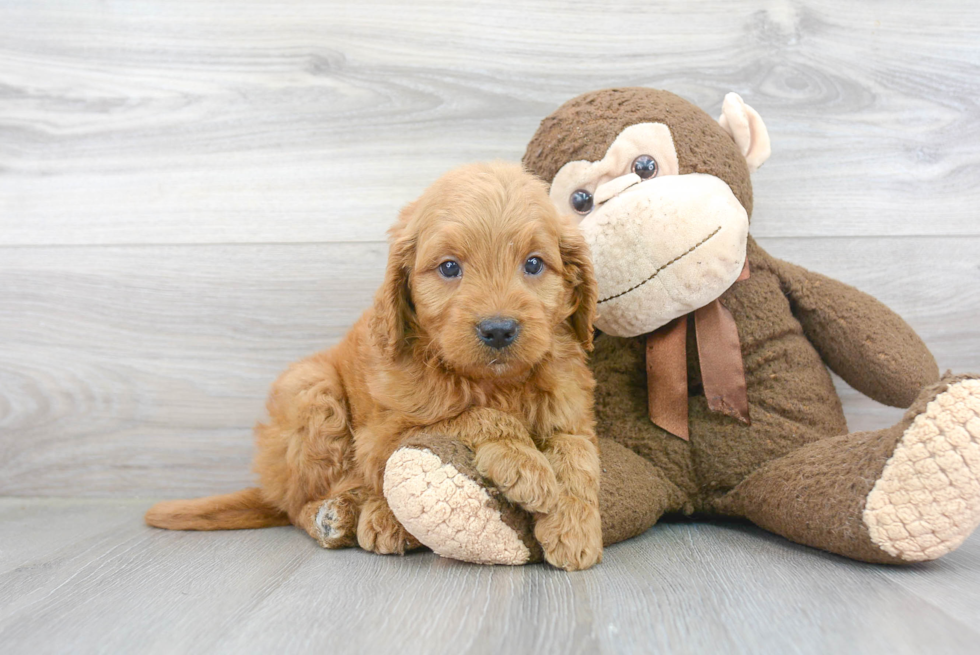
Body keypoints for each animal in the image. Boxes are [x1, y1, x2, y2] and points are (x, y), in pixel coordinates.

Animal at [146, 163, 600, 568]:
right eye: (449, 267)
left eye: (534, 264)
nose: (499, 329)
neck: (495, 382)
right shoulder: (386, 433)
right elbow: (471, 415)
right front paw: (526, 465)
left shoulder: (570, 411)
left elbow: (578, 453)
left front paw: (575, 527)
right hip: (313, 393)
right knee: (302, 503)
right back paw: (343, 519)